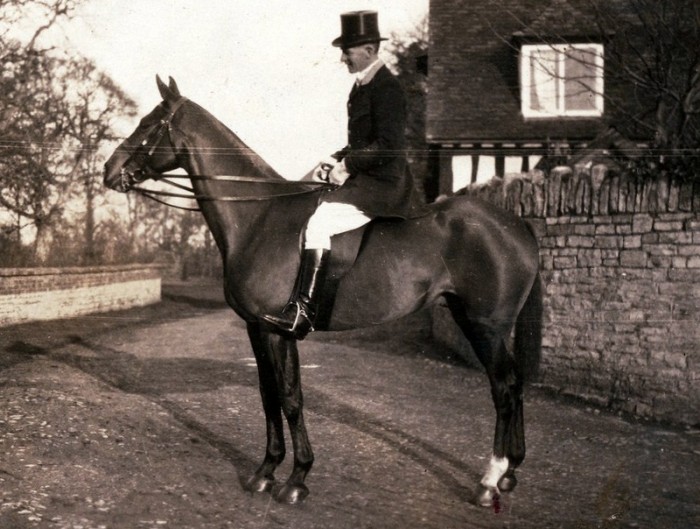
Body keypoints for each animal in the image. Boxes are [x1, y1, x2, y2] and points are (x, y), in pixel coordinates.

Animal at [102, 75, 540, 508]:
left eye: (148, 124)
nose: (109, 169)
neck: (258, 216)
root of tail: (515, 223)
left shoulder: (278, 330)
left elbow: (291, 397)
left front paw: (297, 478)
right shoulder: (256, 328)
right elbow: (268, 395)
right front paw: (265, 471)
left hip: (486, 325)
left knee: (503, 387)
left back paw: (490, 479)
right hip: (472, 318)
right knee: (514, 383)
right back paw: (510, 473)